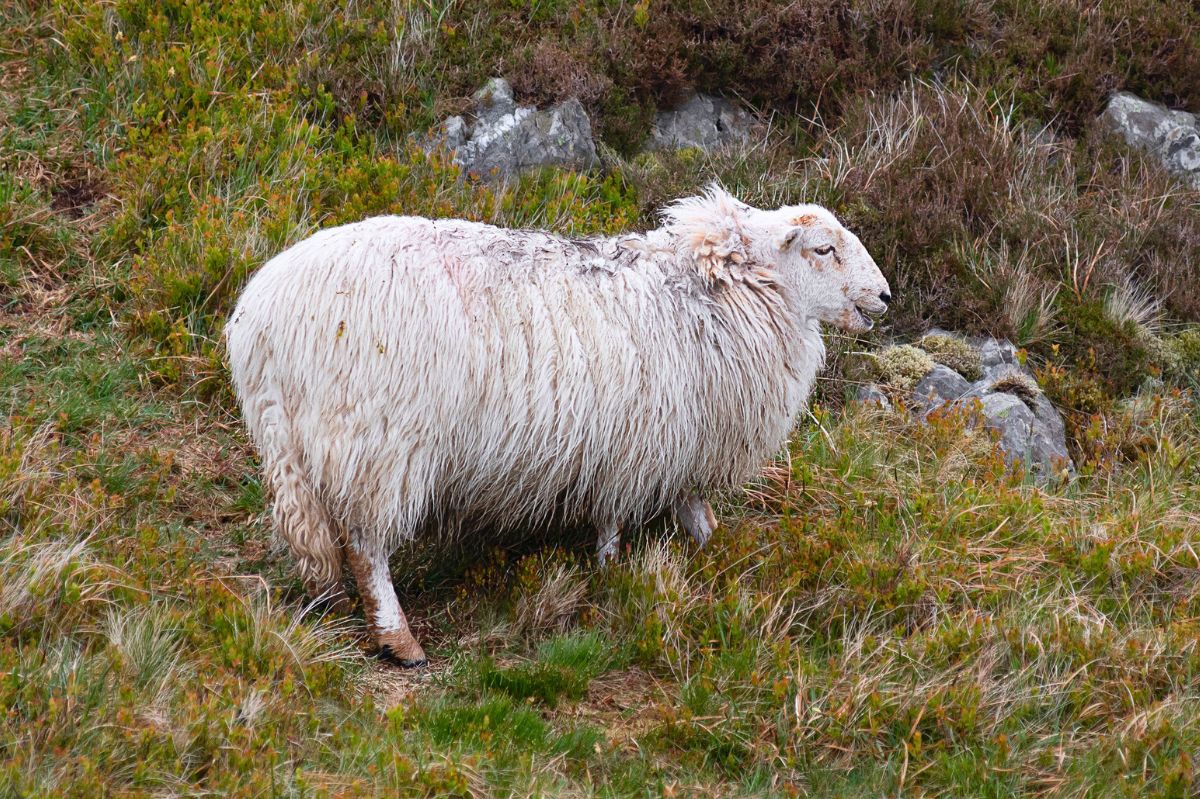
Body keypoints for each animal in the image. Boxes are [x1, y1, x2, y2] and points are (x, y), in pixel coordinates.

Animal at [223, 183, 892, 662]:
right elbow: (615, 518)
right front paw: (613, 574)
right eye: (824, 249)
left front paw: (715, 552)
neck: (721, 292)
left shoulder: (686, 437)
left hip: (302, 445)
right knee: (367, 547)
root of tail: (263, 319)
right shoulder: (639, 440)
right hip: (377, 441)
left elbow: (693, 504)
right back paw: (399, 638)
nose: (885, 297)